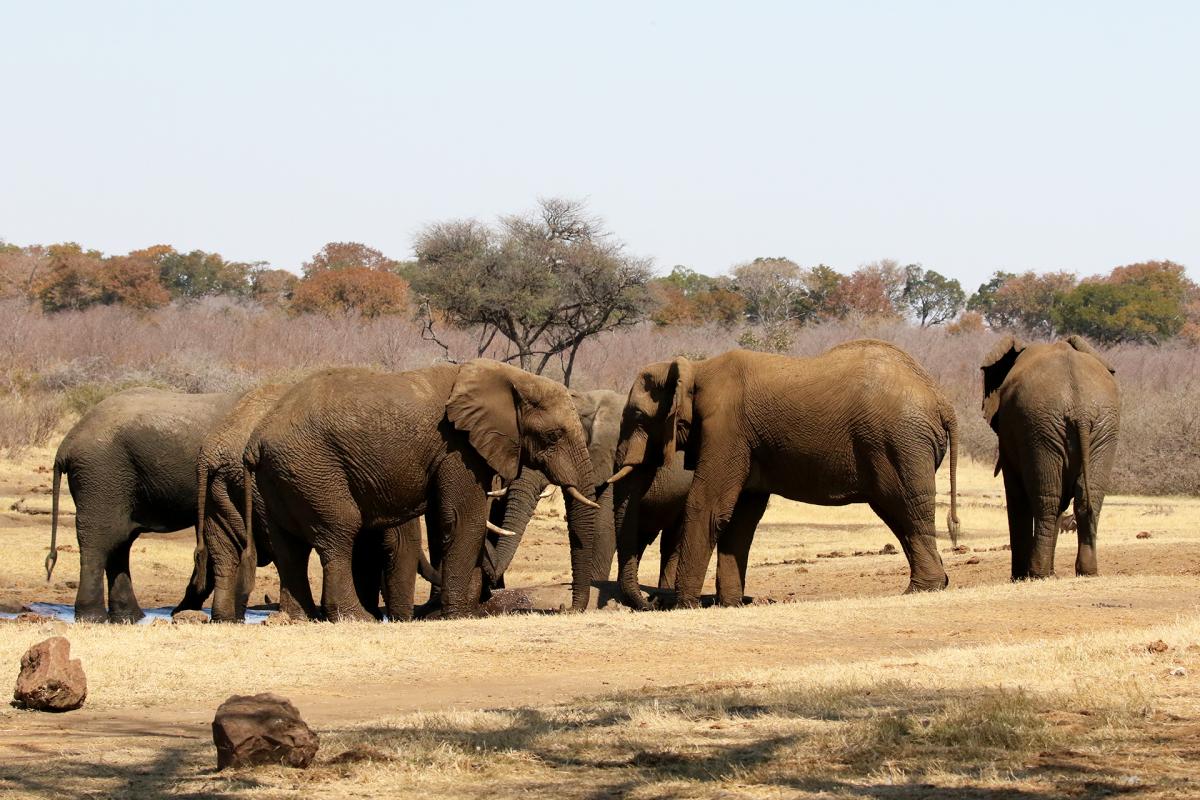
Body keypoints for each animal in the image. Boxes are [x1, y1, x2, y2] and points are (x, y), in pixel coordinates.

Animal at [46, 388, 238, 623]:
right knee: (100, 540)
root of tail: (66, 444)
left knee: (119, 541)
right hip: (100, 474)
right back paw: (94, 617)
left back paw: (129, 617)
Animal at [243, 359, 600, 623]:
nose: (566, 609)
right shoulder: (457, 448)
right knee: (338, 535)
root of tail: (256, 440)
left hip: (281, 477)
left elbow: (449, 521)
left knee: (289, 548)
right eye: (553, 436)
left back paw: (297, 619)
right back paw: (358, 618)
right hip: (313, 470)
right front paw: (460, 616)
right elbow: (463, 518)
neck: (512, 377)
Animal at [604, 340, 960, 609]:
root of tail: (941, 399)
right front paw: (730, 604)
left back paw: (922, 589)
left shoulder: (725, 429)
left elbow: (709, 506)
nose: (652, 602)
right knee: (900, 515)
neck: (696, 368)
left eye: (638, 416)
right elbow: (741, 518)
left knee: (905, 509)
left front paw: (684, 606)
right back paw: (936, 584)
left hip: (899, 443)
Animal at [979, 335, 1118, 578]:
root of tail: (1081, 410)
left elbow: (1015, 494)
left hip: (1041, 427)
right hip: (1096, 428)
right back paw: (1086, 572)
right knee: (1085, 498)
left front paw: (1018, 578)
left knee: (1047, 500)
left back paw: (1038, 574)